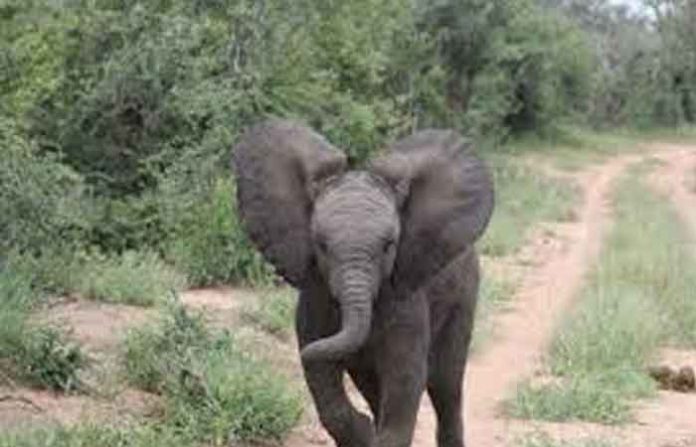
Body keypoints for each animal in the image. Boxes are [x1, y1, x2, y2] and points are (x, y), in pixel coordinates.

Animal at [232, 119, 494, 447]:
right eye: (321, 245)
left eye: (389, 245)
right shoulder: (315, 294)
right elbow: (322, 377)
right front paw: (365, 431)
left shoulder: (404, 294)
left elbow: (405, 376)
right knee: (373, 386)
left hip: (464, 294)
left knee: (446, 384)